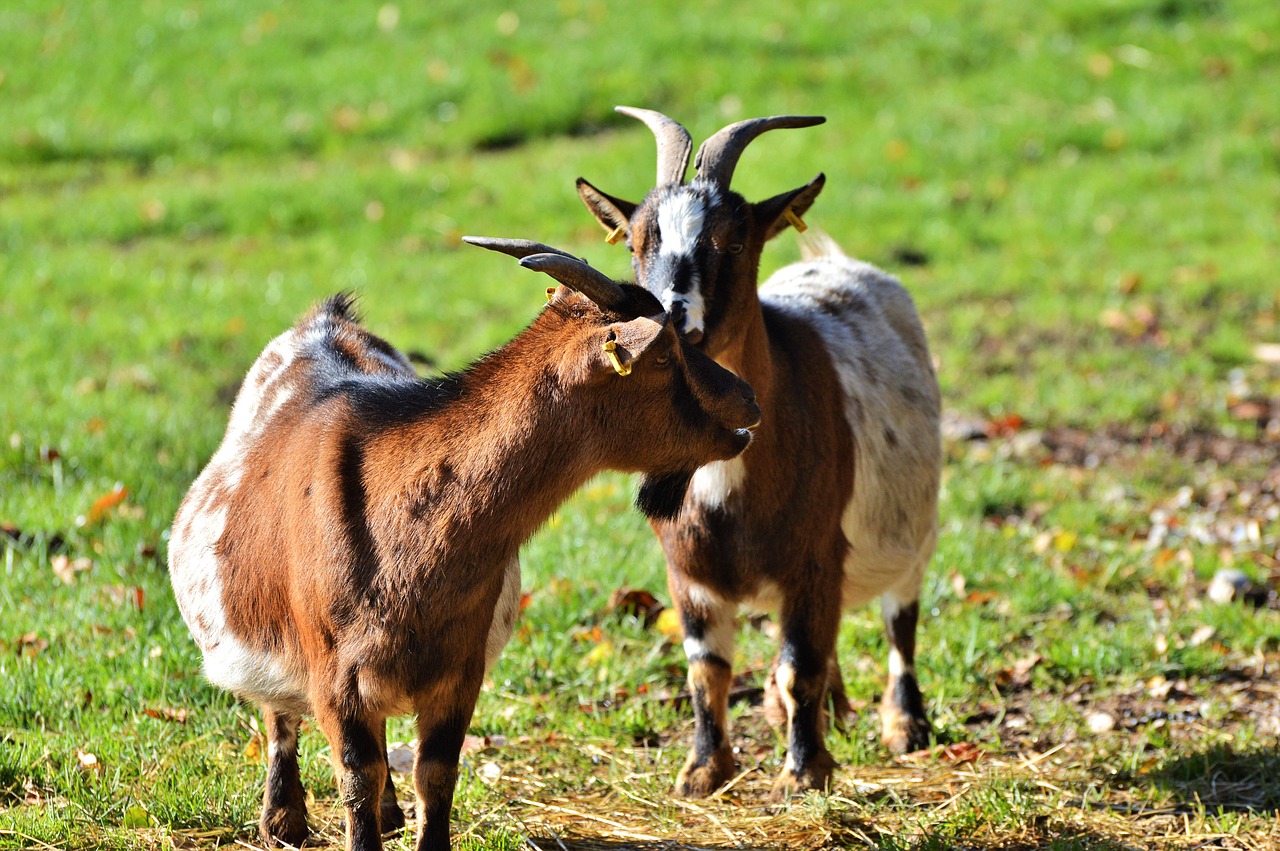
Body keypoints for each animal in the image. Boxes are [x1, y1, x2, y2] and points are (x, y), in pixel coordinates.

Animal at [165, 236, 752, 849]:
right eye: (663, 357)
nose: (749, 399)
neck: (404, 536)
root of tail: (323, 322)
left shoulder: (460, 670)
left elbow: (435, 772)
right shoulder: (334, 678)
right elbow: (356, 774)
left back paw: (385, 815)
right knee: (280, 717)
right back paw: (284, 822)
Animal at [578, 111, 942, 798]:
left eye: (732, 240)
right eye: (635, 244)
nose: (669, 319)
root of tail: (835, 263)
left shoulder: (814, 558)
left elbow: (802, 663)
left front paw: (803, 773)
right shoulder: (688, 573)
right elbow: (708, 670)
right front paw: (702, 771)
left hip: (913, 527)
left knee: (899, 619)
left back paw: (905, 724)